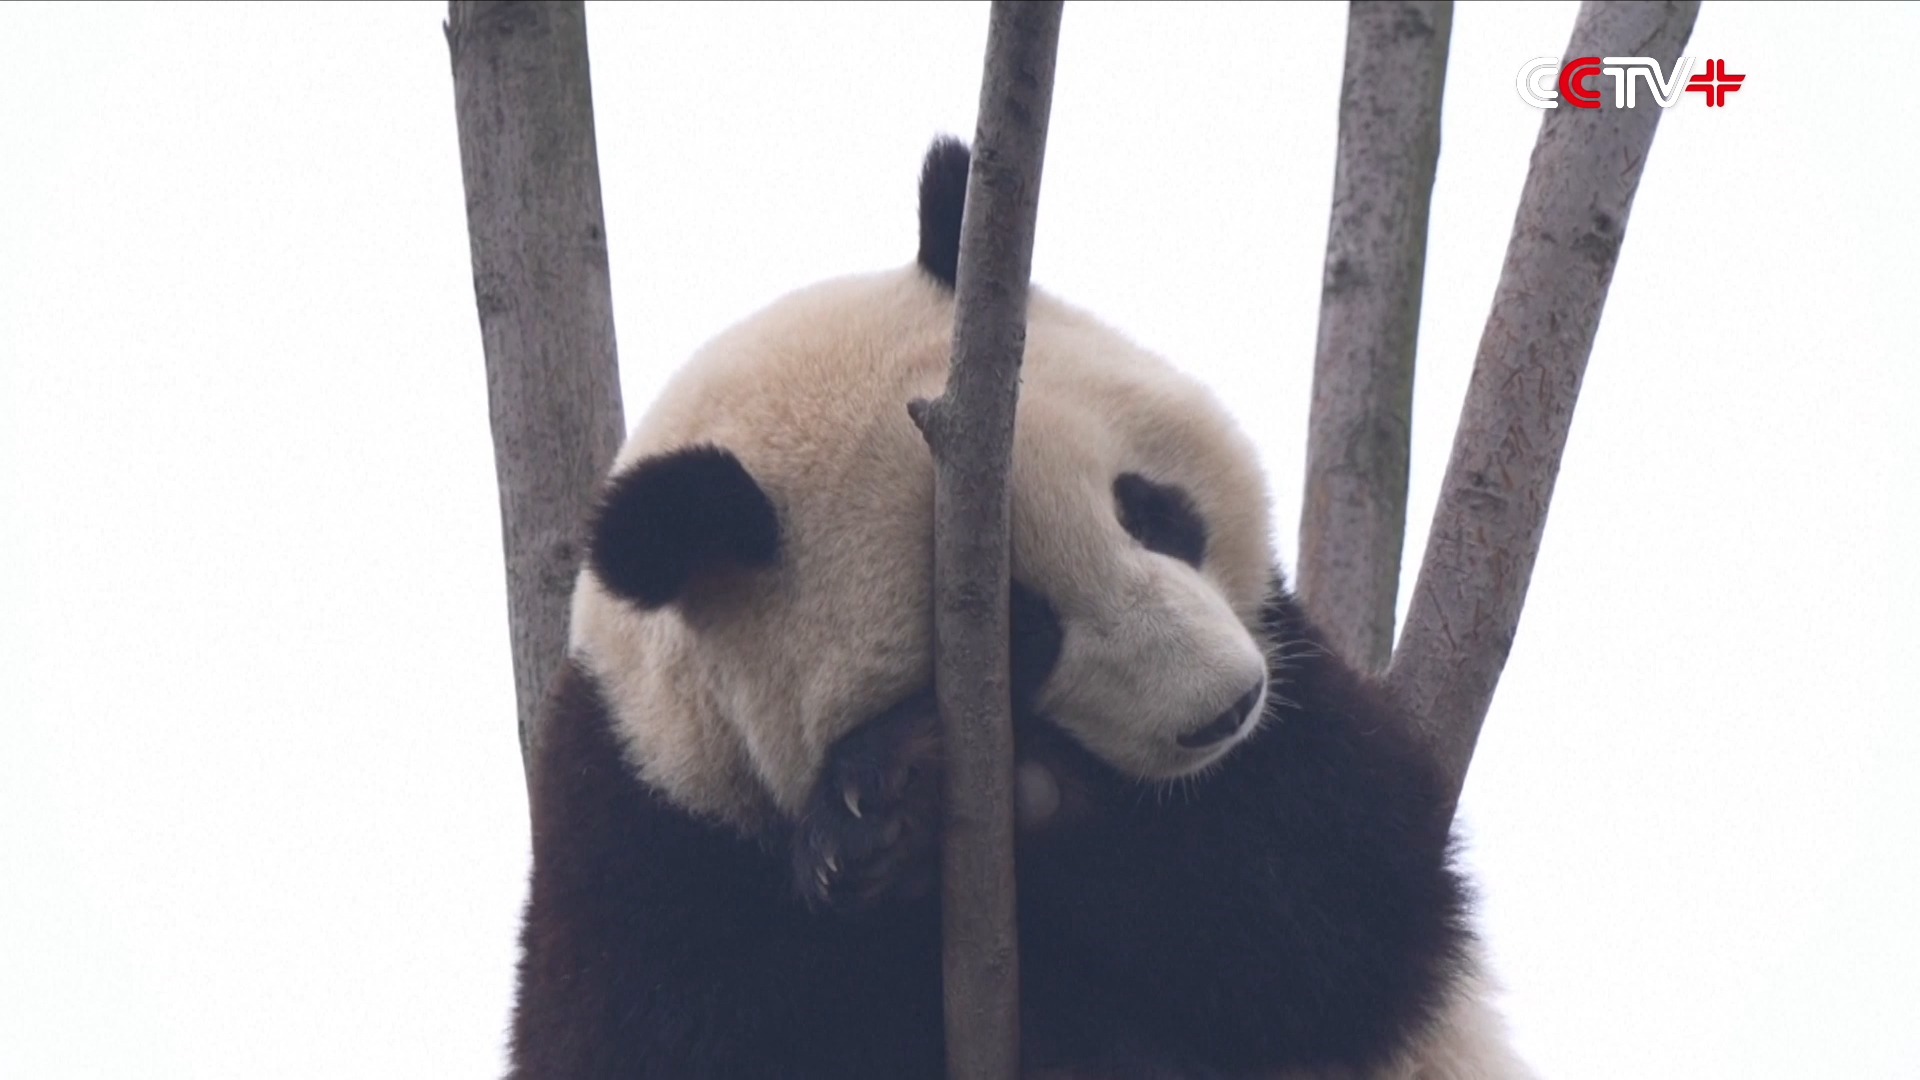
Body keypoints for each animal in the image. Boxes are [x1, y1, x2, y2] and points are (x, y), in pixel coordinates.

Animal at [507, 137, 1534, 1080]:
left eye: (1149, 509)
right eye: (1021, 632)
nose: (1228, 709)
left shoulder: (1292, 681)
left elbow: (1336, 900)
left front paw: (925, 797)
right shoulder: (637, 825)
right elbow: (664, 1036)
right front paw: (871, 823)